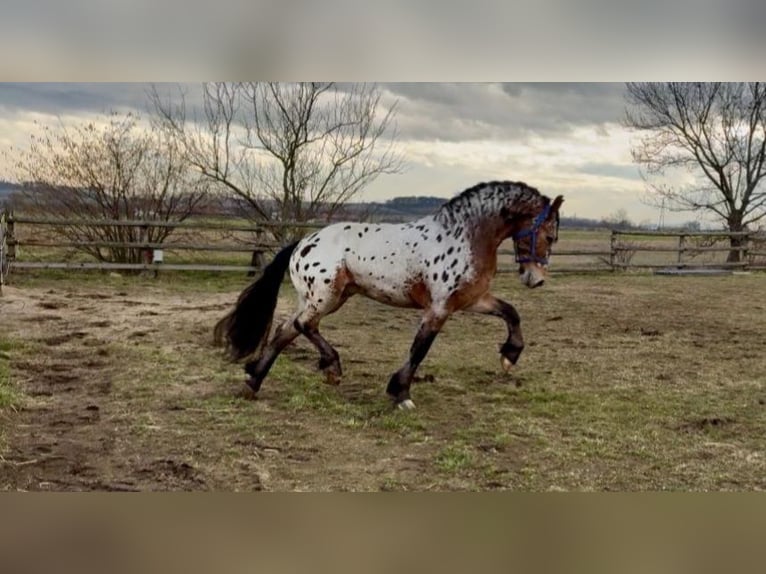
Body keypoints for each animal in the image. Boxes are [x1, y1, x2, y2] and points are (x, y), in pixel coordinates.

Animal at [214, 180, 563, 410]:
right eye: (549, 235)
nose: (535, 279)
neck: (466, 237)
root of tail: (302, 243)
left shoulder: (469, 300)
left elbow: (511, 312)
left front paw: (510, 356)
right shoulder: (439, 308)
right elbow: (419, 349)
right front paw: (401, 394)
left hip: (322, 298)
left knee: (287, 329)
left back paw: (254, 383)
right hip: (326, 297)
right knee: (301, 326)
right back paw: (331, 368)